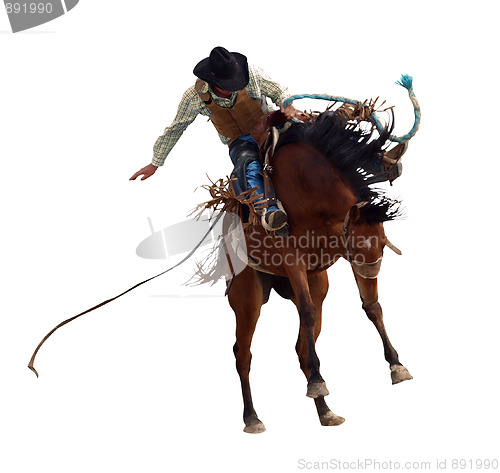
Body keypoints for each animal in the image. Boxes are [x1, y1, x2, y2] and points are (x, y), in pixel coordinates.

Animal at [225, 109, 412, 432]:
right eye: (360, 245)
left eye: (382, 245)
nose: (372, 271)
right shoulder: (294, 259)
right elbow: (308, 311)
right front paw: (317, 384)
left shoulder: (342, 252)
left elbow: (372, 305)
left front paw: (397, 366)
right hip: (247, 298)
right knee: (243, 354)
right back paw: (252, 417)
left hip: (318, 284)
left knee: (302, 348)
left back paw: (325, 410)